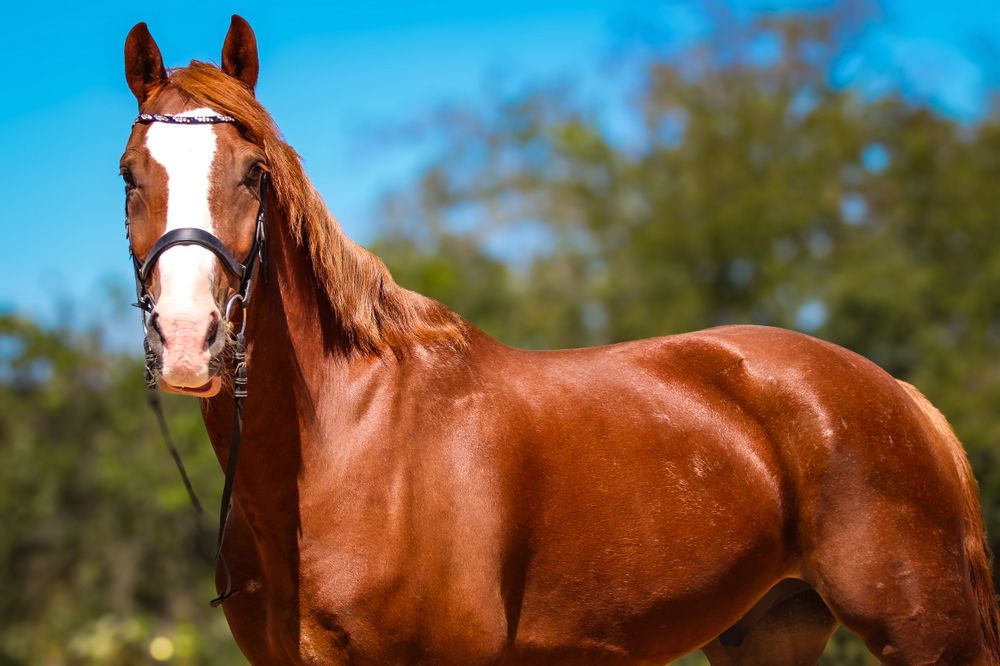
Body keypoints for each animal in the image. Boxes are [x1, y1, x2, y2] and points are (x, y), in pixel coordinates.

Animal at [120, 16, 1000, 665]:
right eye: (132, 174)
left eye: (253, 173)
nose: (189, 340)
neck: (343, 446)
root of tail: (898, 397)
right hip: (770, 631)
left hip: (927, 634)